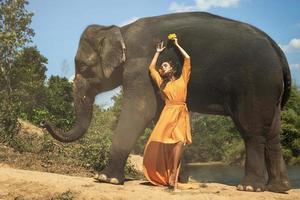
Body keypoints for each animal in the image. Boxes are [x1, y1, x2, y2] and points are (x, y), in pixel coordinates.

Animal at [42, 11, 290, 193]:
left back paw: (249, 188)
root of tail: (277, 49)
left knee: (252, 131)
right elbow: (157, 113)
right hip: (271, 90)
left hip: (256, 83)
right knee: (273, 132)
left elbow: (141, 110)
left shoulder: (139, 66)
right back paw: (278, 188)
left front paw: (105, 178)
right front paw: (180, 179)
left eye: (83, 67)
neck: (120, 30)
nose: (45, 122)